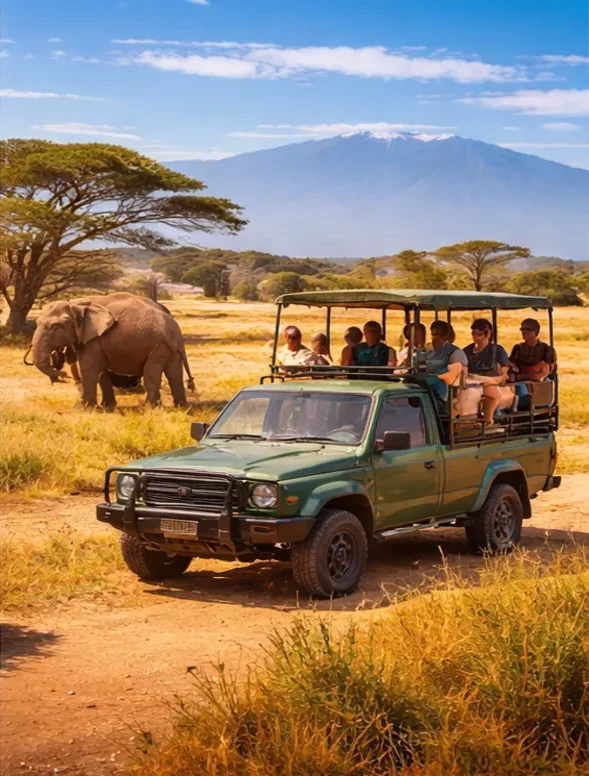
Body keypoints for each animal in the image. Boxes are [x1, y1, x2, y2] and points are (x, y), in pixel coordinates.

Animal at [28, 292, 195, 409]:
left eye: (56, 327)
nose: (63, 374)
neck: (76, 304)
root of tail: (176, 331)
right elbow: (101, 371)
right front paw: (107, 406)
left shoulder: (94, 339)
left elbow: (89, 368)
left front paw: (82, 408)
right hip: (168, 348)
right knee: (174, 374)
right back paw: (180, 407)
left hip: (158, 346)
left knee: (151, 375)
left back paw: (150, 408)